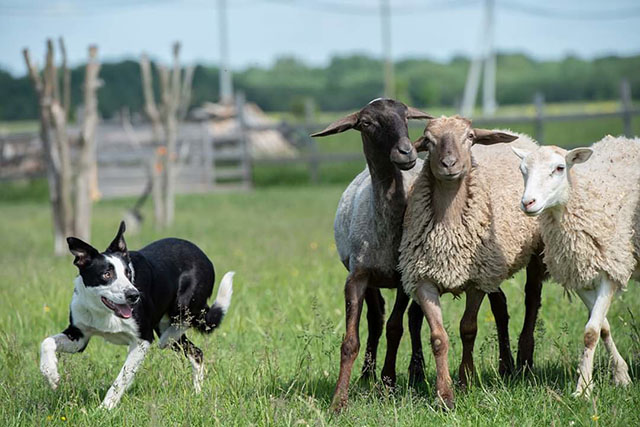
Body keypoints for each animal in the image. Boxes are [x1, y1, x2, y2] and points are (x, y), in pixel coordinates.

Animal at [38, 222, 232, 410]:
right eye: (106, 274)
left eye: (128, 273)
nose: (134, 295)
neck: (104, 312)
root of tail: (202, 254)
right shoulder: (79, 336)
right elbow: (47, 342)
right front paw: (51, 374)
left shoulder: (142, 340)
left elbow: (121, 379)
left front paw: (105, 409)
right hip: (166, 325)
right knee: (196, 353)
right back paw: (197, 392)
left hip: (182, 306)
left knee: (182, 324)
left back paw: (169, 338)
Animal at [400, 115, 544, 410]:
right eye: (428, 141)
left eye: (469, 137)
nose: (449, 164)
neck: (449, 228)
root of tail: (513, 133)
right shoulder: (424, 280)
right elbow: (438, 338)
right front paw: (444, 395)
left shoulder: (476, 281)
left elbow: (468, 329)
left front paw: (466, 380)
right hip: (492, 267)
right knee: (500, 305)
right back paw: (506, 366)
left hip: (531, 251)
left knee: (532, 298)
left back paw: (524, 358)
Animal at [512, 135, 640, 398]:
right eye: (523, 170)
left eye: (560, 168)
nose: (528, 203)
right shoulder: (577, 272)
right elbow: (602, 326)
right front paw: (621, 375)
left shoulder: (611, 269)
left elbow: (590, 332)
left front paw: (582, 390)